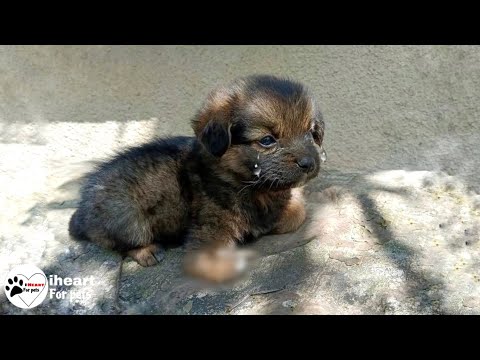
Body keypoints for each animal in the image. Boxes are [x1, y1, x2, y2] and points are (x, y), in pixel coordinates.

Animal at [68, 74, 326, 282]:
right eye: (267, 140)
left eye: (311, 133)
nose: (309, 164)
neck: (244, 183)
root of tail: (81, 211)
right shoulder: (208, 234)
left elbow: (296, 211)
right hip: (126, 214)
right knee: (118, 242)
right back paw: (148, 251)